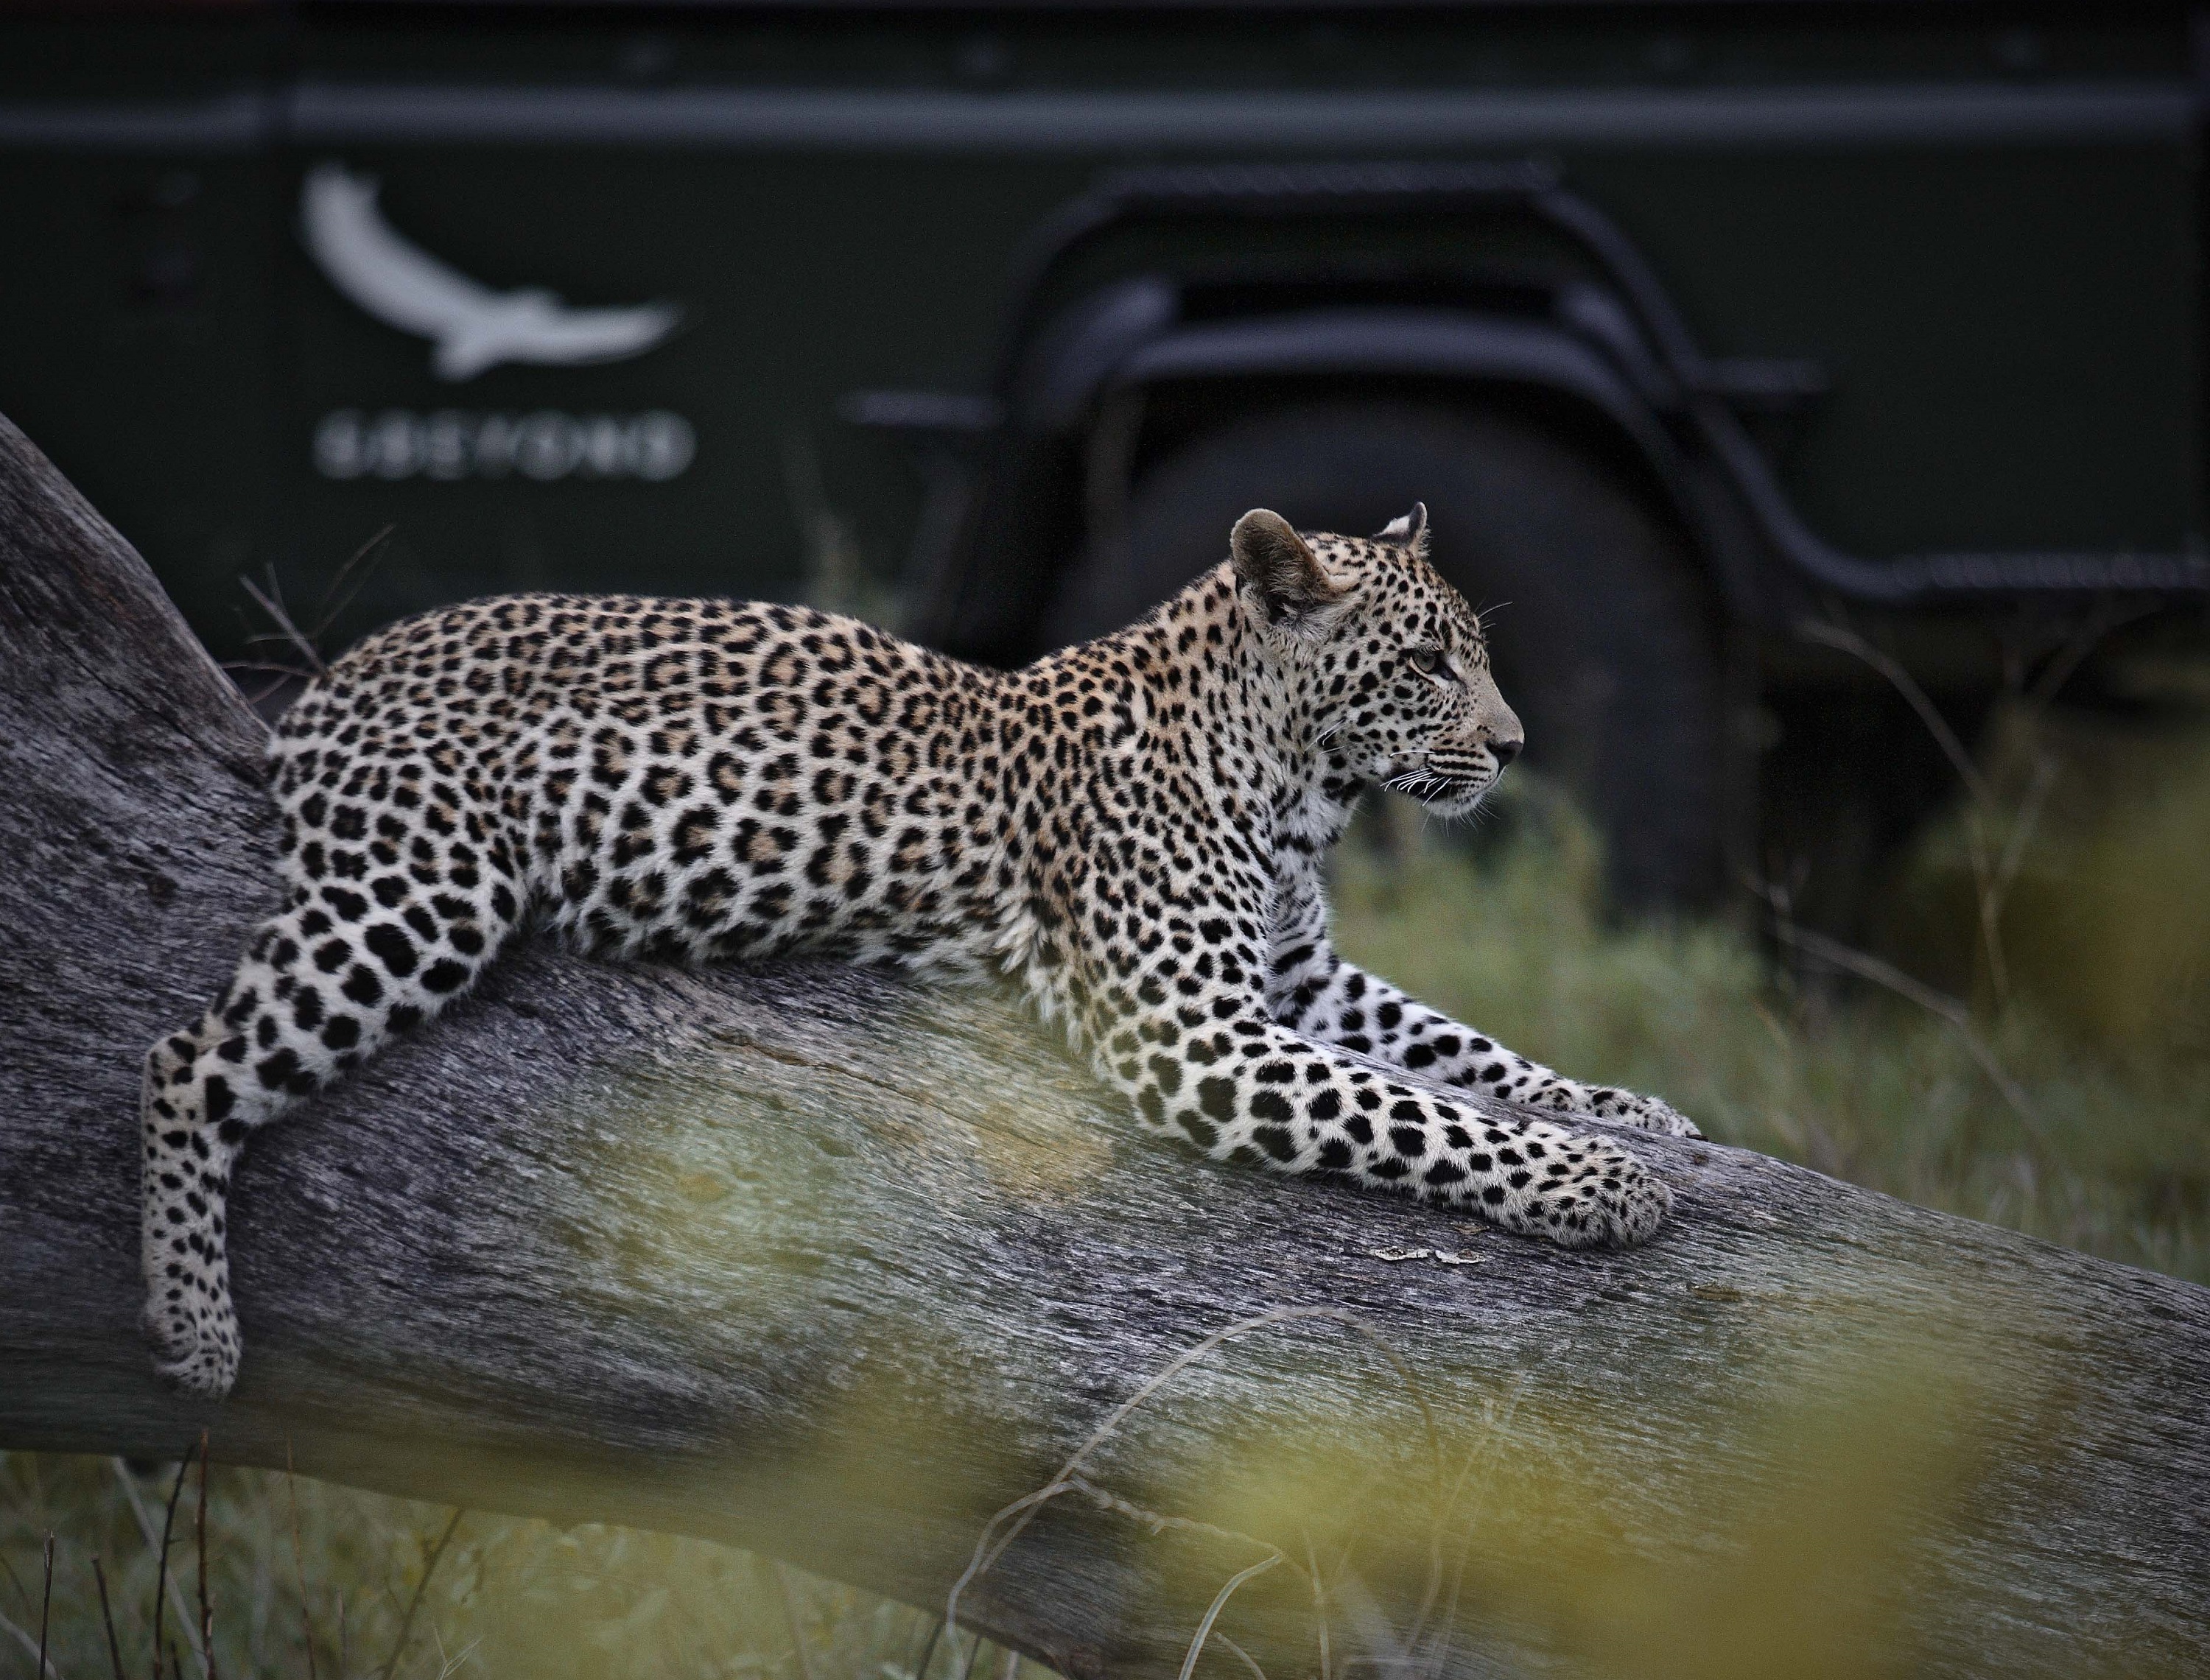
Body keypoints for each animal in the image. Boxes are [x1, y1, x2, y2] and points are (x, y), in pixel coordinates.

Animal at [141, 502, 1699, 1397]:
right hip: (423, 892)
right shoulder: (1193, 1031)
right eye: (1428, 664)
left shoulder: (1298, 979)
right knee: (182, 1058)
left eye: (1471, 656)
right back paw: (192, 1332)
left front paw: (1637, 1113)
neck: (1292, 792)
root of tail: (333, 678)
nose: (1516, 747)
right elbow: (1419, 1110)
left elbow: (1462, 1048)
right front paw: (1598, 1184)